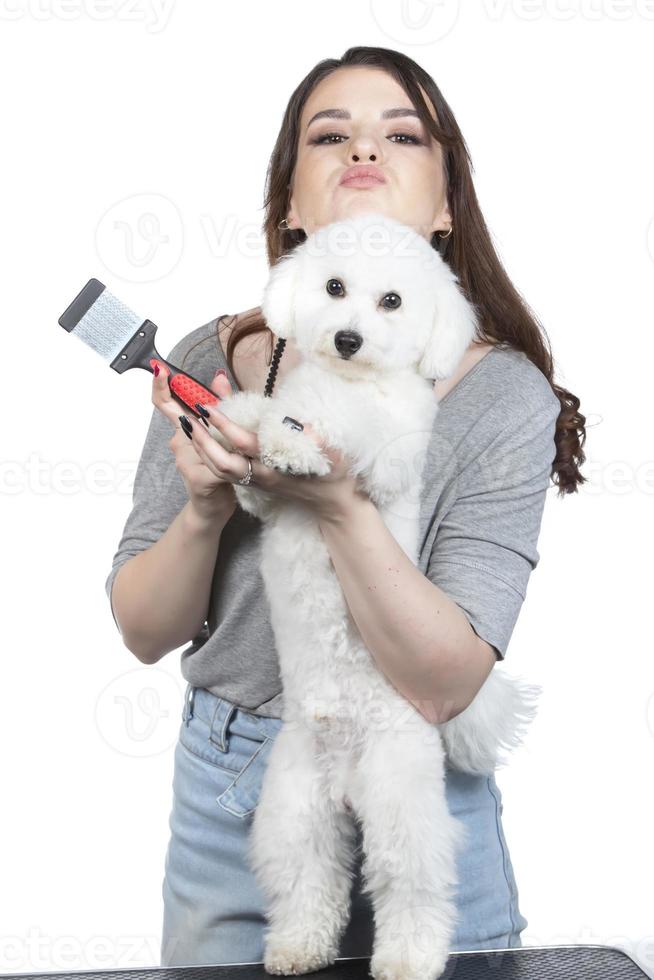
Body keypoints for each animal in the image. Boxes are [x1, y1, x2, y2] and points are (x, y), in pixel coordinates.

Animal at [210, 216, 544, 980]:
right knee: (310, 880)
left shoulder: (390, 455)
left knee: (414, 885)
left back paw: (409, 958)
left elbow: (352, 433)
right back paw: (297, 947)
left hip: (400, 801)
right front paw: (248, 418)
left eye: (392, 301)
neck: (349, 381)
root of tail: (346, 780)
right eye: (334, 287)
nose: (347, 339)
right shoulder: (264, 497)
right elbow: (264, 424)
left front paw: (297, 446)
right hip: (295, 810)